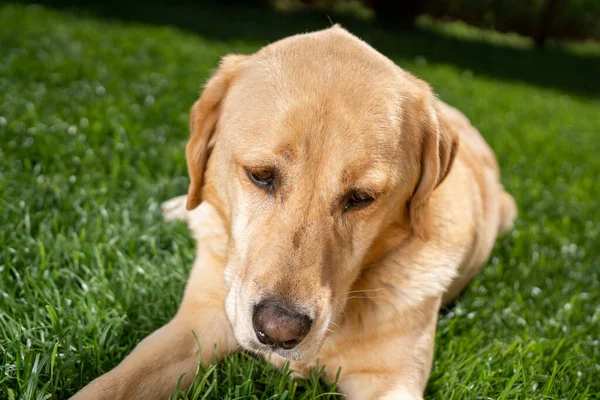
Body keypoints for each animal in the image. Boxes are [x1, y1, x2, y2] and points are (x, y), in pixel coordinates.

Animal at [74, 26, 516, 398]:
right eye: (260, 175)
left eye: (361, 197)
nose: (278, 331)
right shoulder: (196, 323)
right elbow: (109, 386)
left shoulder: (391, 380)